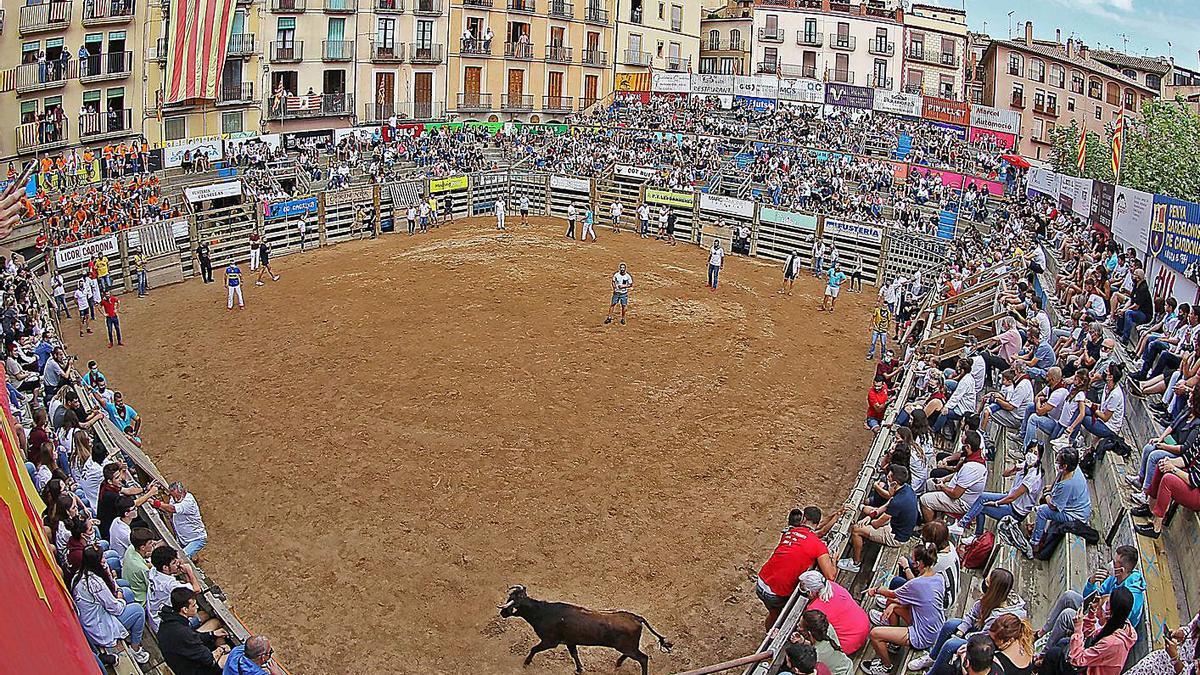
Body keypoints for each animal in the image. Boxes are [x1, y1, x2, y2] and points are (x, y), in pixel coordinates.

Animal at [494, 581, 672, 667]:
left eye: (512, 604)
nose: (502, 613)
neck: (542, 612)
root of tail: (636, 617)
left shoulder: (550, 641)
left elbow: (534, 649)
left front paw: (526, 663)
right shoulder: (570, 641)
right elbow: (574, 654)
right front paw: (580, 669)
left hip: (627, 646)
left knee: (643, 658)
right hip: (627, 646)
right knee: (633, 655)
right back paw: (618, 663)